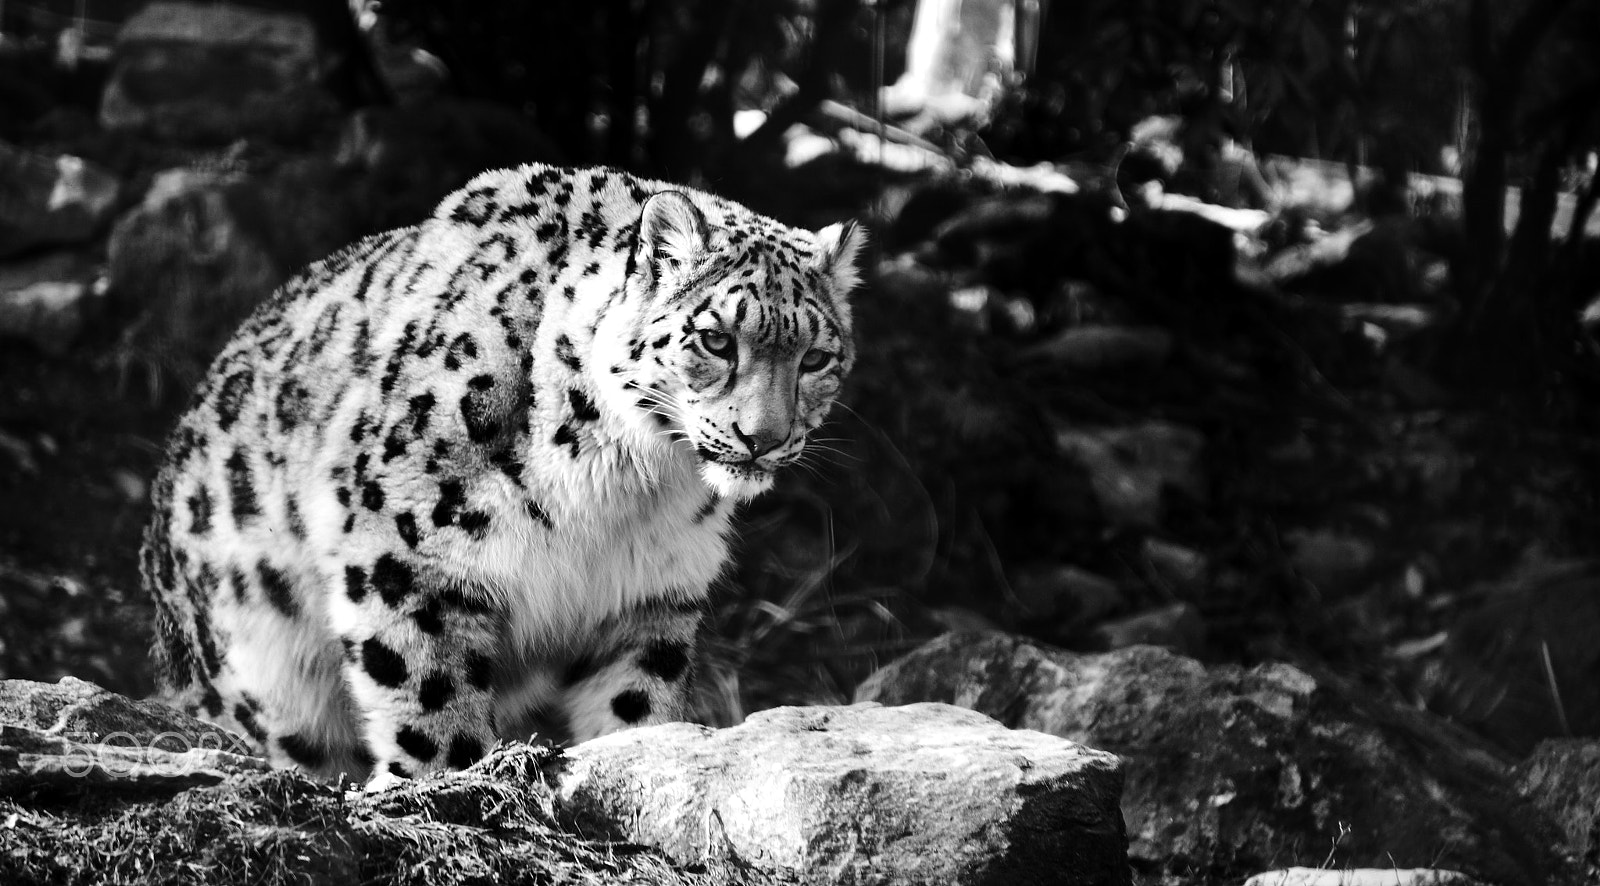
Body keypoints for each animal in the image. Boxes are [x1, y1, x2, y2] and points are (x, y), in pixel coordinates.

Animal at [139, 162, 863, 781]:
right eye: (716, 339)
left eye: (816, 358)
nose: (764, 438)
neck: (630, 488)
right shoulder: (407, 550)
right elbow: (430, 690)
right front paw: (438, 777)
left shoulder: (650, 595)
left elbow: (634, 705)